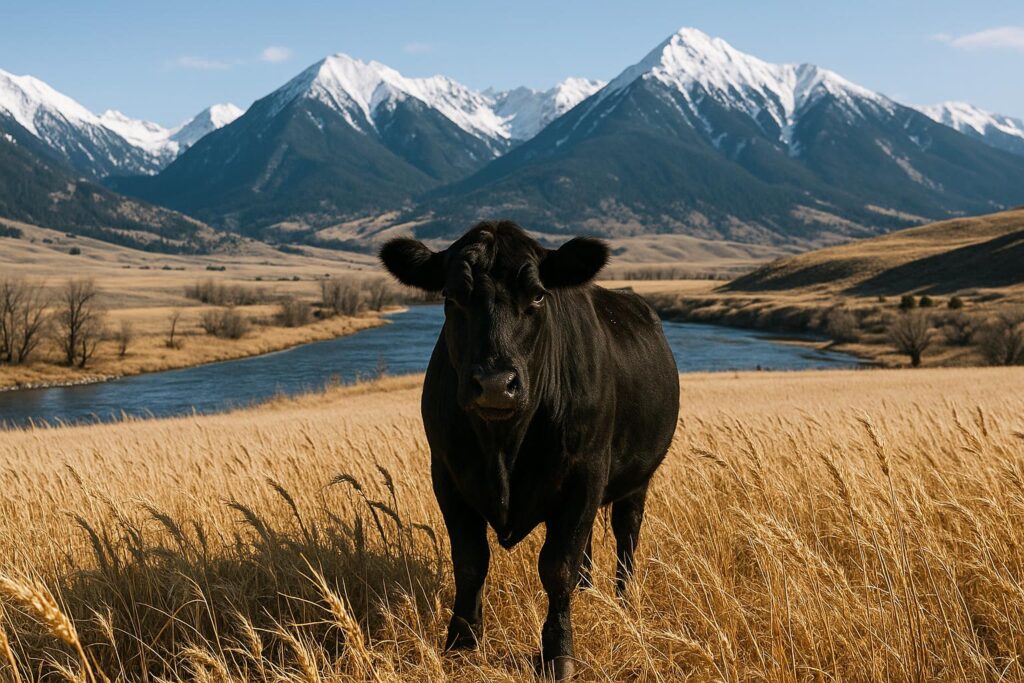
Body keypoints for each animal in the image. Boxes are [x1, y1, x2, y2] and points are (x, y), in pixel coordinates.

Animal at [380, 221, 679, 679]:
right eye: (451, 297)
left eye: (538, 295)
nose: (494, 384)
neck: (504, 447)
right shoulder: (447, 476)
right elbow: (470, 562)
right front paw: (461, 645)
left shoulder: (584, 476)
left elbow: (557, 568)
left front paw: (558, 654)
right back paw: (589, 594)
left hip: (637, 481)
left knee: (626, 537)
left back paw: (623, 602)